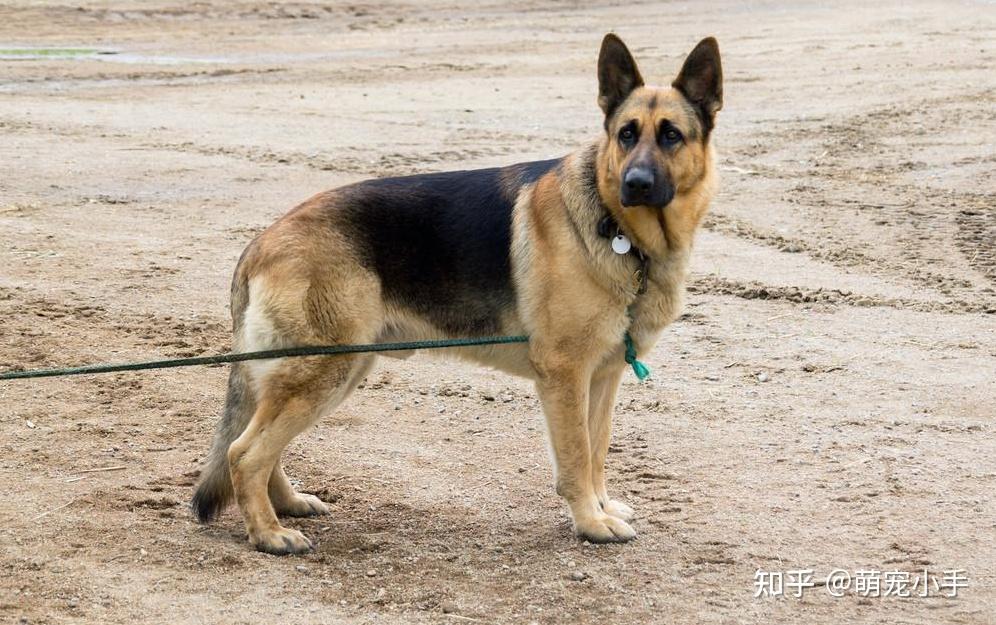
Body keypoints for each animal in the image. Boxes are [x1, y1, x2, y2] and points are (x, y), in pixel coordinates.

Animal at [193, 34, 724, 552]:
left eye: (671, 135)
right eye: (626, 134)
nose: (636, 183)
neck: (617, 227)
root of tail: (261, 242)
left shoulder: (603, 376)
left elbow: (597, 450)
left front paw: (602, 506)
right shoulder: (566, 375)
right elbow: (576, 457)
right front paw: (591, 522)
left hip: (331, 372)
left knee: (261, 446)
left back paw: (286, 504)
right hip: (323, 371)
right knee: (244, 453)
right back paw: (267, 534)